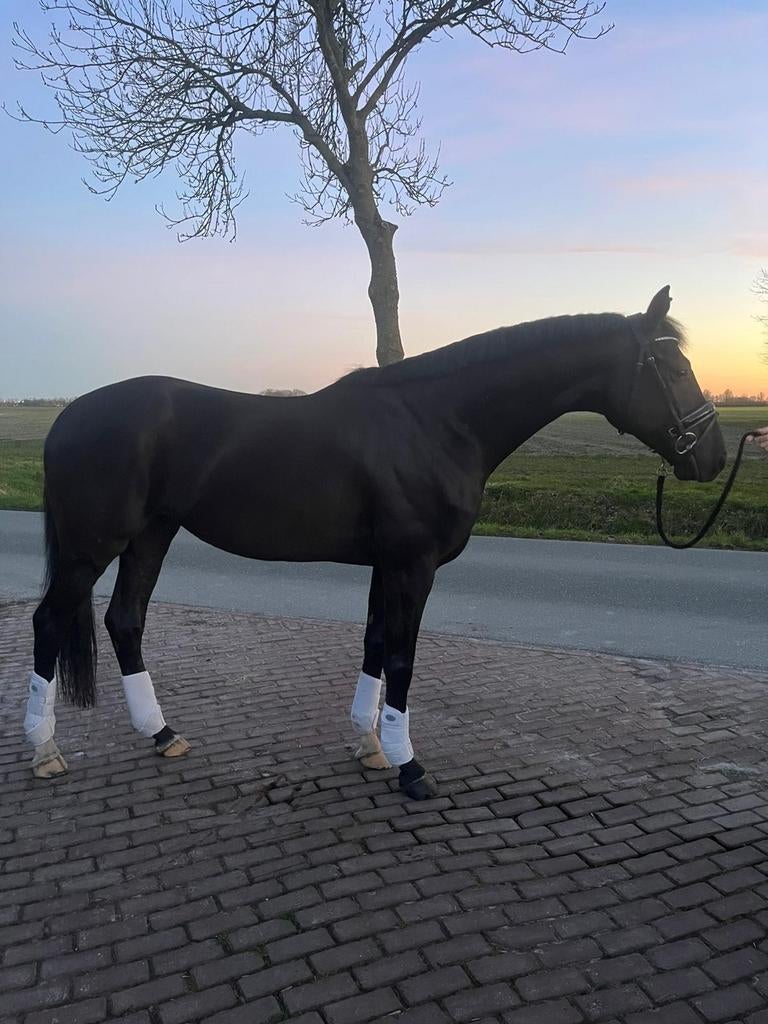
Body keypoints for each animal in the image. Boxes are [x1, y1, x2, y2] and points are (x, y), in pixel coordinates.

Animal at [25, 287, 726, 798]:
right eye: (673, 367)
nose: (714, 457)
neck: (436, 422)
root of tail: (68, 417)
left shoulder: (385, 564)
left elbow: (375, 643)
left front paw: (369, 746)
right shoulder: (414, 564)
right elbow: (404, 658)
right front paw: (410, 765)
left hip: (152, 534)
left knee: (125, 620)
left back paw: (162, 733)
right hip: (93, 546)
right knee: (50, 622)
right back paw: (45, 748)